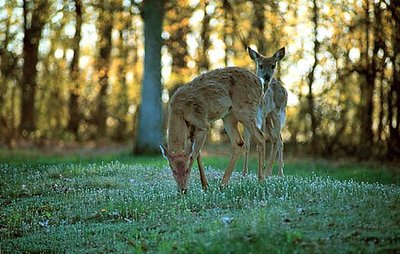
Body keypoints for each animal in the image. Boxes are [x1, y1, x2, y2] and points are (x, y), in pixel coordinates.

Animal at [241, 46, 288, 178]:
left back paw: (279, 173)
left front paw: (259, 173)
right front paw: (244, 173)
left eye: (273, 65)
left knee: (279, 140)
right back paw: (268, 172)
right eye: (260, 65)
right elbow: (247, 145)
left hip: (278, 112)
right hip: (269, 118)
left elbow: (259, 143)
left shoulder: (260, 116)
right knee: (275, 139)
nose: (267, 77)